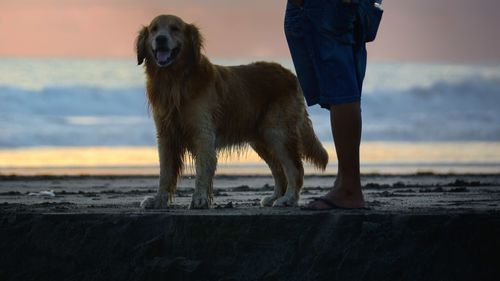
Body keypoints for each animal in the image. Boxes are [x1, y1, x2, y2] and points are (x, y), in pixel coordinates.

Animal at [136, 15, 328, 208]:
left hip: (277, 133)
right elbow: (165, 173)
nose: (161, 39)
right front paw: (158, 200)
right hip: (261, 139)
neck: (175, 80)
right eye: (154, 29)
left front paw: (199, 198)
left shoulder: (203, 134)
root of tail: (291, 75)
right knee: (279, 170)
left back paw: (288, 199)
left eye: (175, 28)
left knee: (295, 169)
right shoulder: (165, 135)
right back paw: (274, 197)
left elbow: (202, 170)